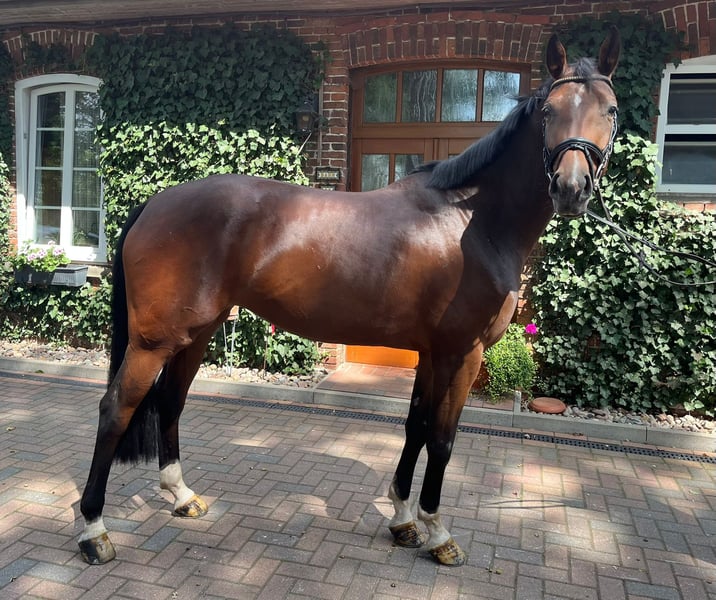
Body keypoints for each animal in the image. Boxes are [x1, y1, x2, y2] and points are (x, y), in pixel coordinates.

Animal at [78, 29, 620, 567]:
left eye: (611, 110)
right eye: (548, 111)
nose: (571, 188)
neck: (469, 221)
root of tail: (155, 202)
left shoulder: (430, 353)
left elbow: (415, 426)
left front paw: (402, 521)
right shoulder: (462, 353)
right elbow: (442, 439)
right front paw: (438, 532)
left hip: (197, 332)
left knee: (171, 401)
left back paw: (182, 496)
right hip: (154, 342)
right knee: (115, 410)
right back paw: (94, 530)